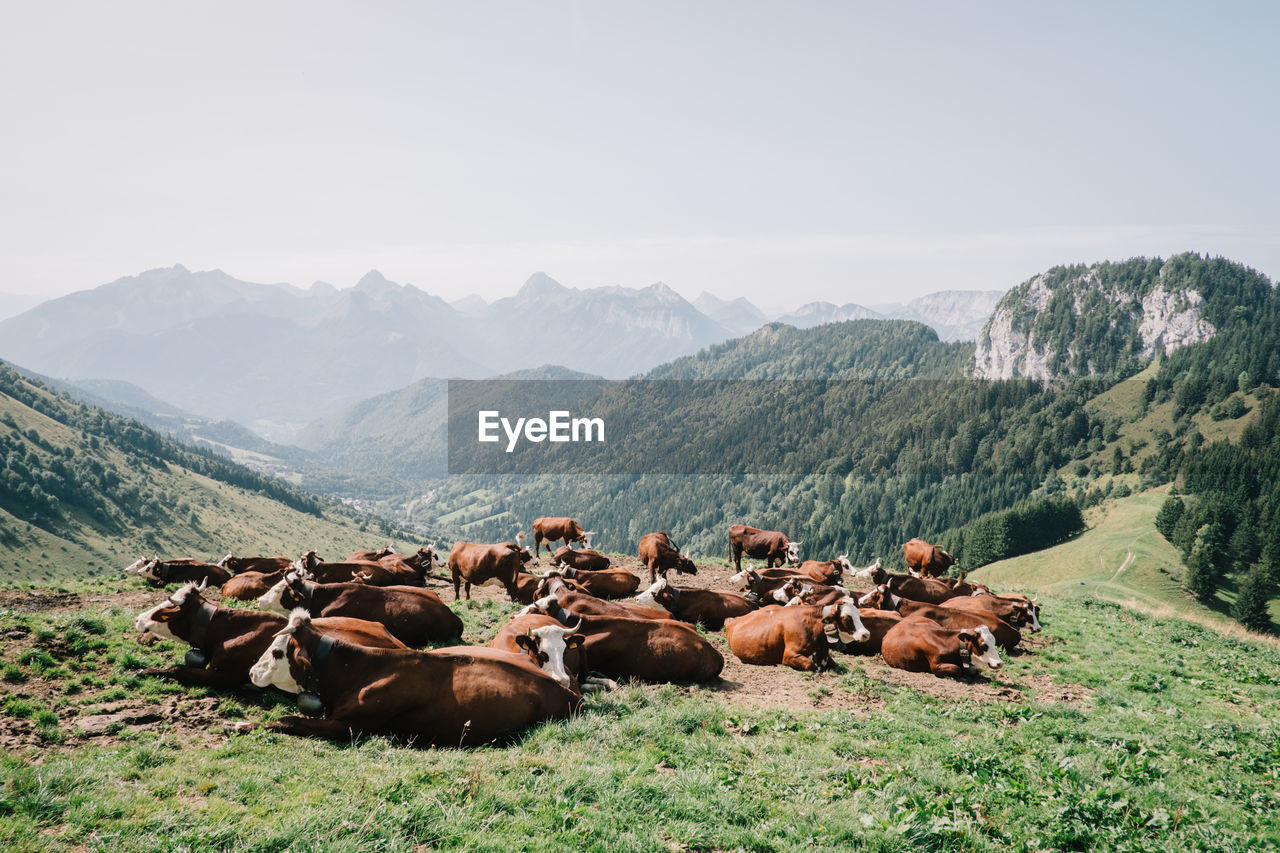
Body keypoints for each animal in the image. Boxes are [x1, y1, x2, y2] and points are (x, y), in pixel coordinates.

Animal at [245, 607, 586, 742]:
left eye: (277, 652)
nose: (251, 671)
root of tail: (567, 689)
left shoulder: (352, 726)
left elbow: (288, 721)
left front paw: (242, 725)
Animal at [727, 596, 875, 671]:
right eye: (846, 617)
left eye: (859, 615)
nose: (866, 634)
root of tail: (733, 620)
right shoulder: (789, 655)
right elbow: (811, 665)